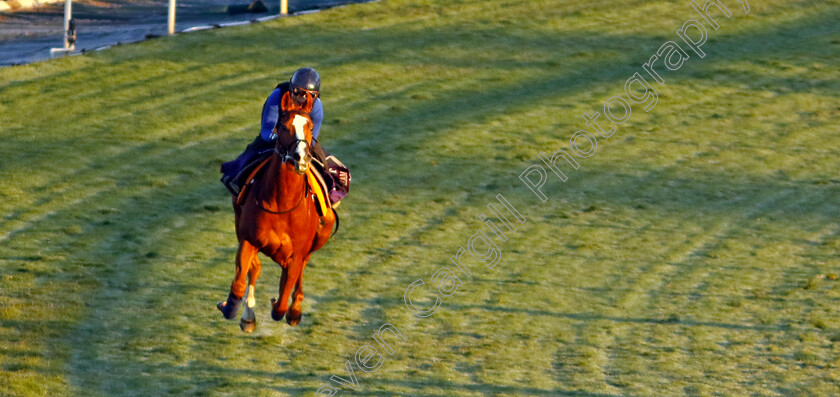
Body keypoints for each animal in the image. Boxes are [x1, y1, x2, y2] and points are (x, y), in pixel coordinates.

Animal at [217, 91, 334, 330]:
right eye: (283, 126)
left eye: (310, 126)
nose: (301, 157)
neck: (282, 203)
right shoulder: (249, 239)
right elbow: (241, 280)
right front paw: (232, 308)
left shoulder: (296, 255)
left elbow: (280, 305)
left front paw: (285, 307)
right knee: (255, 269)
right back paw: (248, 315)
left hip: (320, 236)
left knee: (300, 273)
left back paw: (295, 310)